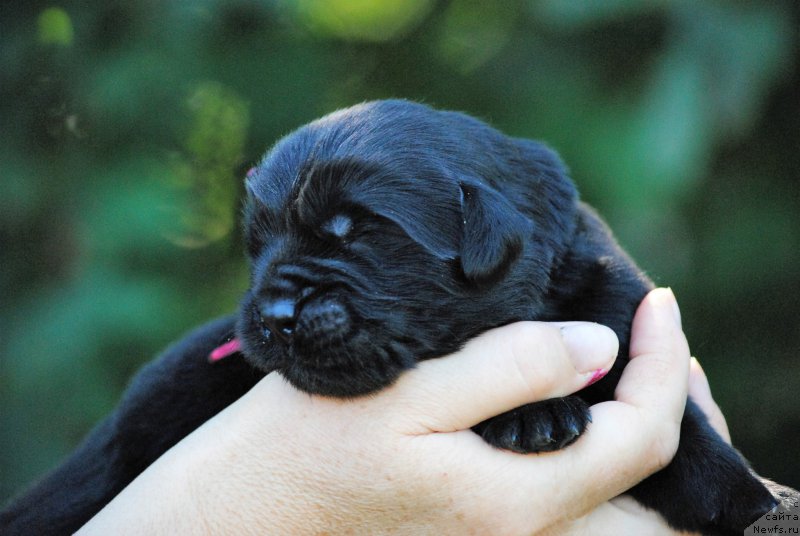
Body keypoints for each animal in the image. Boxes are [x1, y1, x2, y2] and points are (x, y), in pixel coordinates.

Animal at [0, 100, 788, 536]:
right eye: (258, 247)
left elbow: (678, 424)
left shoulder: (614, 309)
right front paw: (534, 415)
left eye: (354, 233)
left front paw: (742, 497)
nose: (275, 311)